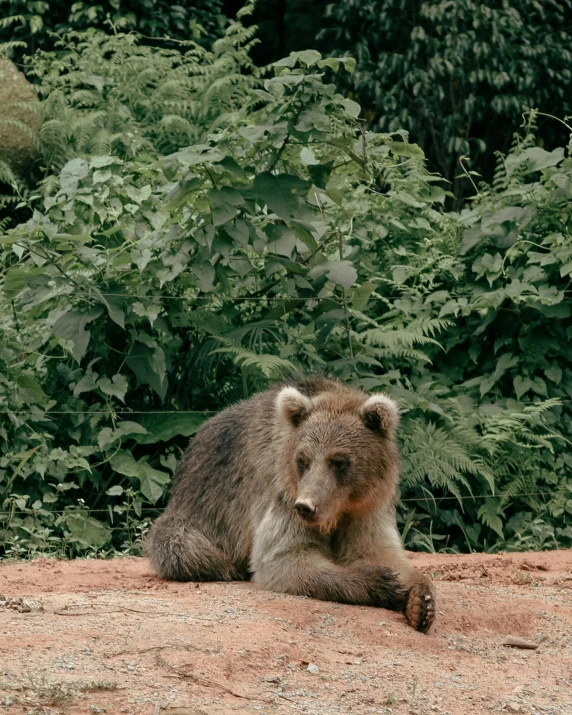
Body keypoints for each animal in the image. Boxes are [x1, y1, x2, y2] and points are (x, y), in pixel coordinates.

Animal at [145, 374, 436, 632]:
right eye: (302, 460)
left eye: (339, 462)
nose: (306, 506)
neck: (339, 510)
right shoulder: (280, 491)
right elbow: (285, 557)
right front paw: (381, 582)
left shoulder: (367, 506)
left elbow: (376, 550)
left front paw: (420, 601)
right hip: (196, 512)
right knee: (186, 548)